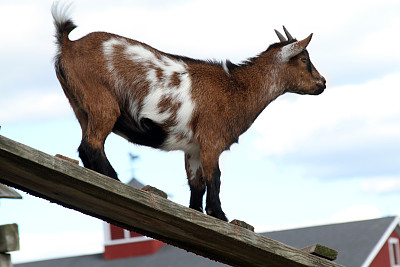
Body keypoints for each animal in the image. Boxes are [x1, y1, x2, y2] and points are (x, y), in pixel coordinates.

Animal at [50, 3, 324, 222]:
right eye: (304, 59)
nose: (322, 83)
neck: (236, 88)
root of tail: (69, 45)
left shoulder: (192, 148)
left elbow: (197, 184)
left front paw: (196, 211)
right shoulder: (211, 139)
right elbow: (215, 176)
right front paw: (219, 215)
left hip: (80, 106)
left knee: (86, 145)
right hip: (103, 102)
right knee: (91, 144)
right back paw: (114, 179)